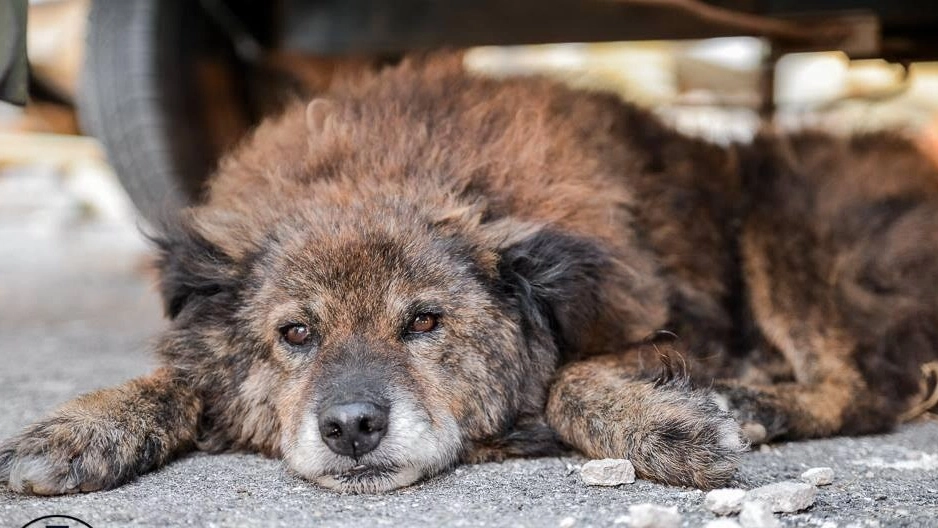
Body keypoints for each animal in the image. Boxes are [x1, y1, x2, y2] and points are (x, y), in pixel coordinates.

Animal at [1, 56, 936, 496]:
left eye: (425, 322)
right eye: (295, 334)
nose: (351, 428)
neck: (384, 170)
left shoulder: (669, 324)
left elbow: (570, 381)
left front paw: (667, 428)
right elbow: (179, 378)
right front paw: (83, 428)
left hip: (788, 217)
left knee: (869, 384)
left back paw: (755, 404)